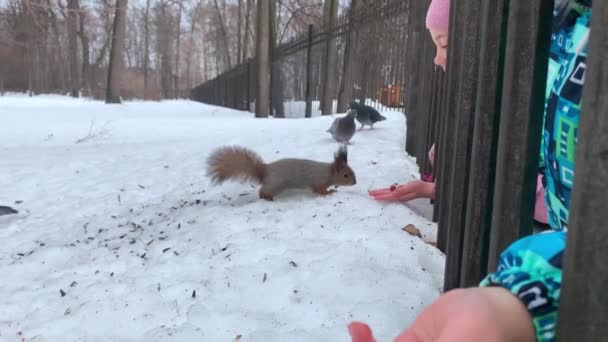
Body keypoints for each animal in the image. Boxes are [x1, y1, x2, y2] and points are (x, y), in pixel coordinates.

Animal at [207, 145, 356, 200]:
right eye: (345, 175)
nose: (355, 182)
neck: (328, 172)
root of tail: (264, 171)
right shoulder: (318, 181)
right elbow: (319, 190)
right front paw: (329, 192)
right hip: (275, 184)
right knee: (262, 191)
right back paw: (267, 197)